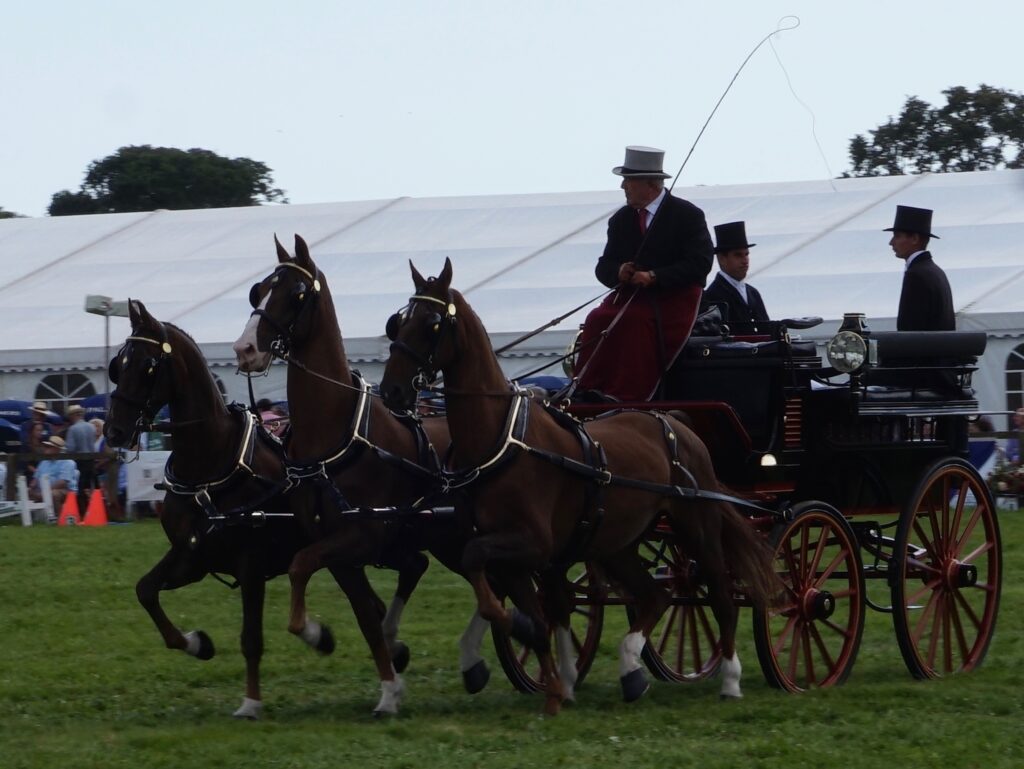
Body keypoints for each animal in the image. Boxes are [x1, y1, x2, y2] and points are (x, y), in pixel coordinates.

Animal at [103, 303, 350, 720]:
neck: (209, 465)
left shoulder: (250, 565)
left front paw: (250, 702)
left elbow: (251, 638)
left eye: (149, 365)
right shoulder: (192, 556)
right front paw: (196, 643)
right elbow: (146, 591)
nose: (114, 431)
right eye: (118, 364)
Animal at [232, 234, 487, 716]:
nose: (245, 349)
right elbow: (364, 614)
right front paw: (388, 684)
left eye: (296, 294)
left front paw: (319, 636)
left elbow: (302, 567)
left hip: (455, 537)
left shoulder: (361, 536)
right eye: (259, 290)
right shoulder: (338, 548)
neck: (332, 433)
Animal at [378, 259, 774, 716]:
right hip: (618, 542)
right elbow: (534, 611)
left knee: (722, 597)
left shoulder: (533, 544)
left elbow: (494, 581)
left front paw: (516, 642)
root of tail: (675, 420)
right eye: (398, 322)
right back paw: (631, 670)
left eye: (433, 323)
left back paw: (730, 679)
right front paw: (554, 685)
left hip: (698, 527)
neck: (502, 440)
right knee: (656, 596)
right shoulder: (515, 556)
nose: (391, 390)